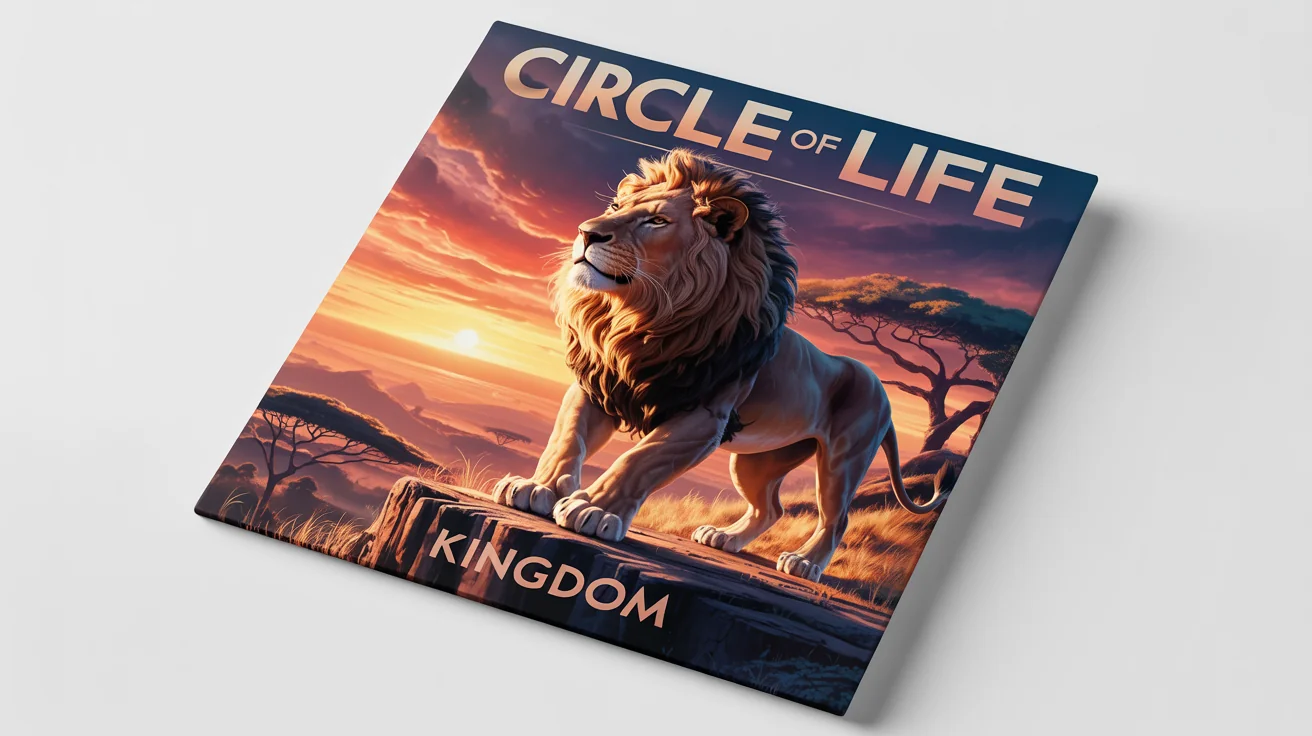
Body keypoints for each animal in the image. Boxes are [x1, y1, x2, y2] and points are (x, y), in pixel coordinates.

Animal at [492, 149, 953, 581]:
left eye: (657, 221)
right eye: (616, 208)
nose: (586, 232)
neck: (640, 322)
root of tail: (884, 394)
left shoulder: (704, 415)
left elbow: (641, 459)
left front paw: (595, 509)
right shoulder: (600, 386)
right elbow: (566, 439)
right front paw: (536, 488)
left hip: (844, 459)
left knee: (837, 519)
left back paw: (804, 563)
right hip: (756, 461)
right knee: (771, 508)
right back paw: (724, 538)